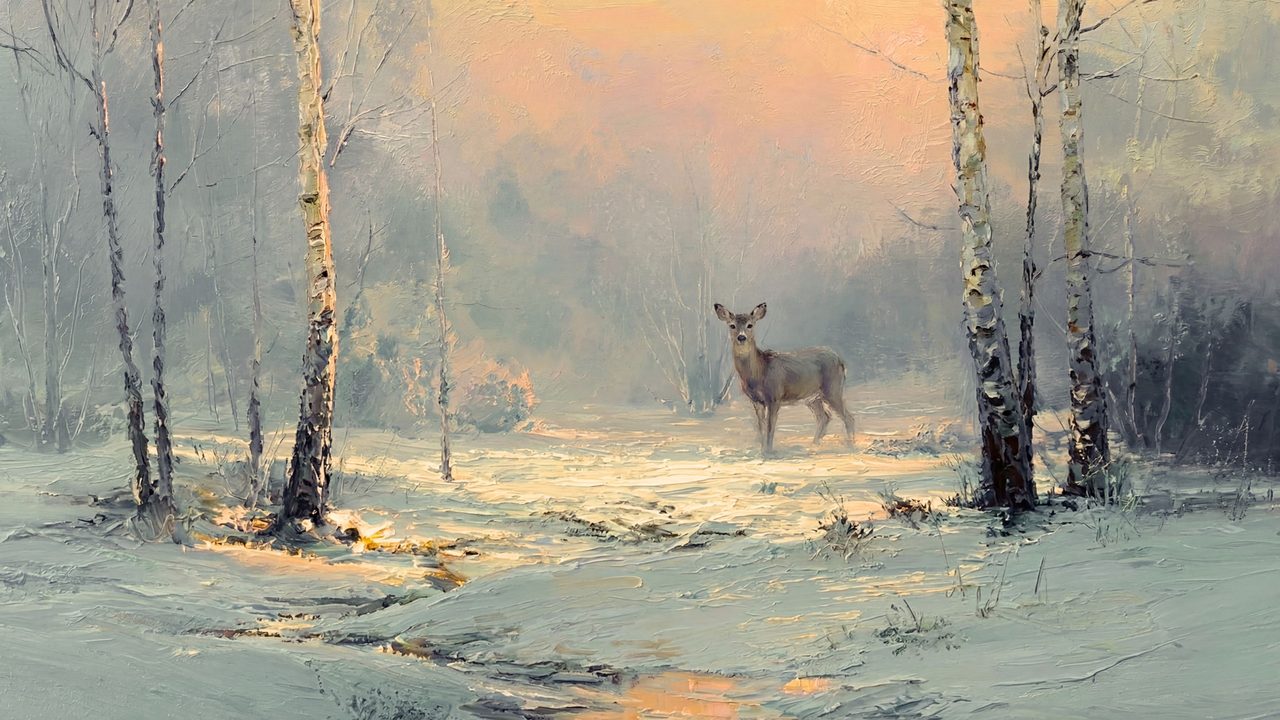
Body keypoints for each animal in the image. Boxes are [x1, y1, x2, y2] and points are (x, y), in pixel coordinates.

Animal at [714, 302, 855, 456]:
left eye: (750, 325)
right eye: (732, 325)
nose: (741, 337)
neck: (759, 372)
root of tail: (840, 360)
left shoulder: (774, 396)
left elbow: (770, 427)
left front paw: (769, 451)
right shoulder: (756, 401)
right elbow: (761, 427)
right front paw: (762, 450)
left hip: (832, 388)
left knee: (848, 417)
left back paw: (850, 445)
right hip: (812, 397)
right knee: (824, 417)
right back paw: (814, 445)